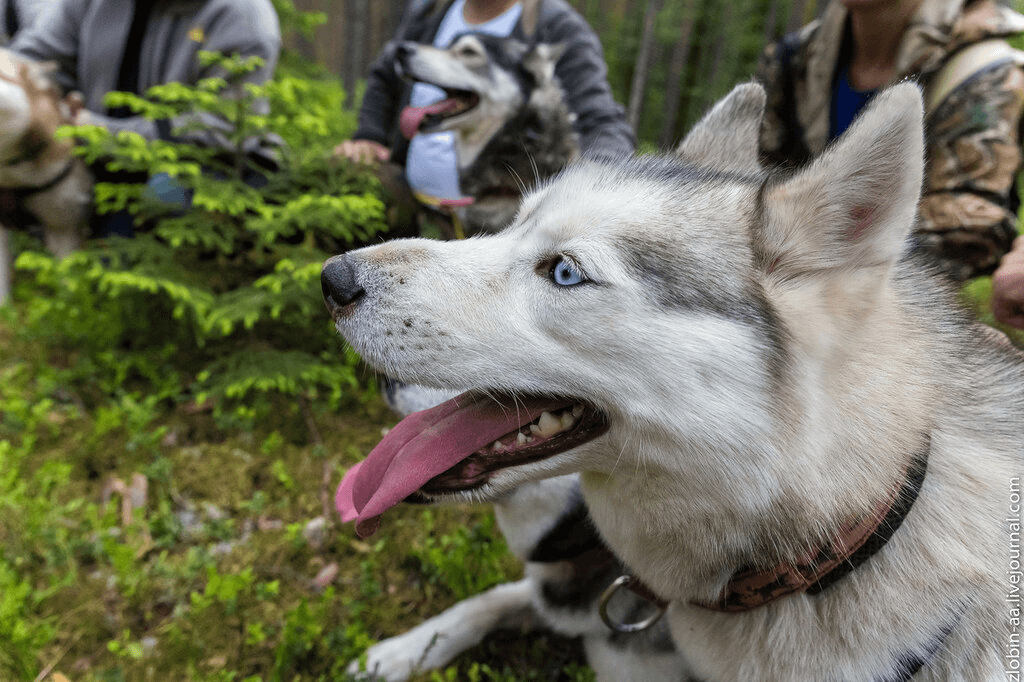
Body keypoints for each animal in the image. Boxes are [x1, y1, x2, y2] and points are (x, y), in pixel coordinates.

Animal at [323, 80, 1024, 679]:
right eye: (512, 225)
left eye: (565, 272)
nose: (332, 278)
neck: (845, 536)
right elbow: (488, 600)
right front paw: (401, 651)